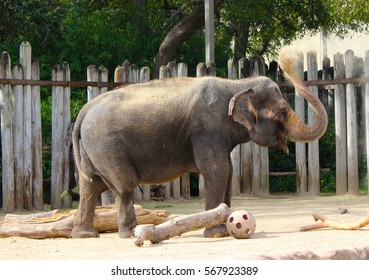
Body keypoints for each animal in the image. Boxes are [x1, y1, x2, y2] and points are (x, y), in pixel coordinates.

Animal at [70, 49, 326, 238]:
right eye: (282, 112)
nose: (287, 60)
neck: (236, 84)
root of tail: (84, 111)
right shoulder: (207, 128)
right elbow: (217, 170)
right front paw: (216, 233)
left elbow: (228, 173)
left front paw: (224, 228)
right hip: (106, 145)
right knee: (124, 186)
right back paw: (131, 233)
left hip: (93, 150)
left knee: (90, 186)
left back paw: (84, 234)